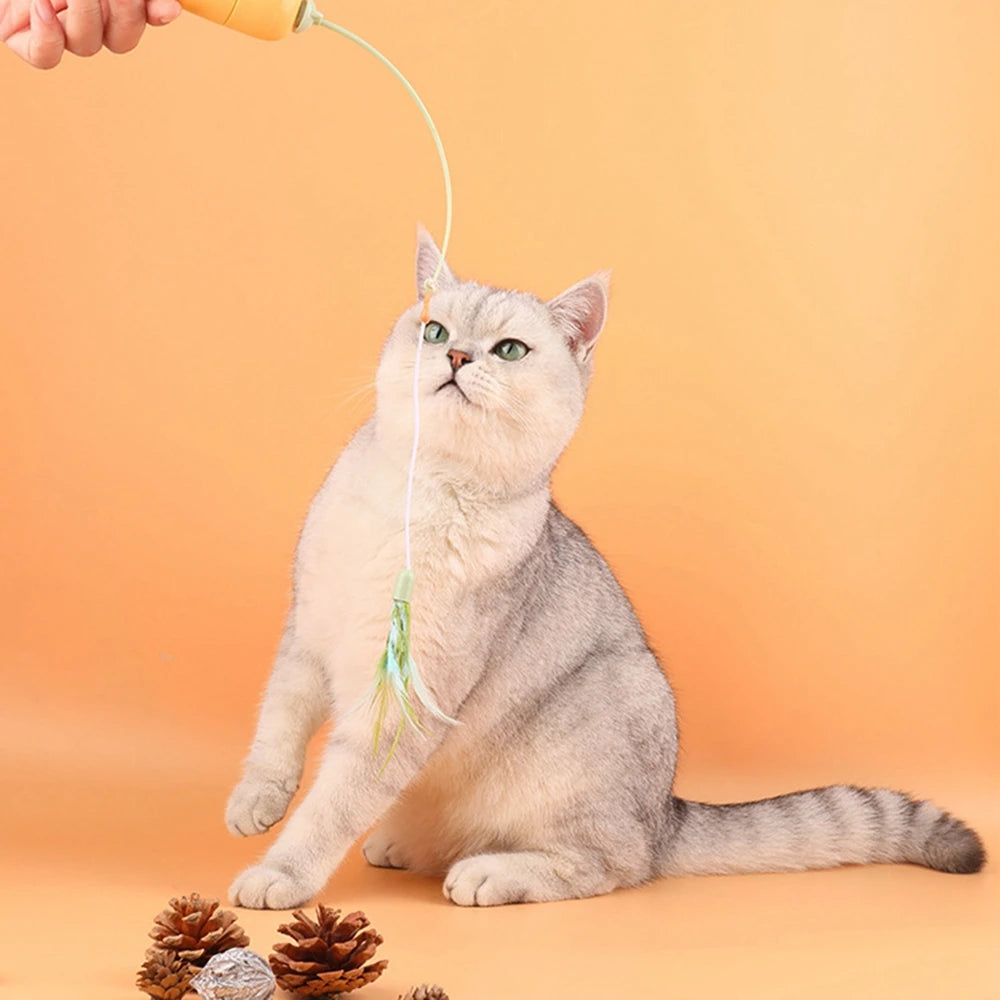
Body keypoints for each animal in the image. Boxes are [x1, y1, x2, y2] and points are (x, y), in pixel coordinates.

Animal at [225, 230, 984, 912]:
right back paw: (405, 843)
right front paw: (256, 801)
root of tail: (666, 814)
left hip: (597, 723)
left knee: (611, 866)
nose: (458, 355)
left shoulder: (407, 690)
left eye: (508, 350)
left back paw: (490, 872)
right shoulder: (308, 631)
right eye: (434, 328)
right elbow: (278, 726)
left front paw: (282, 871)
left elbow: (335, 800)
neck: (417, 494)